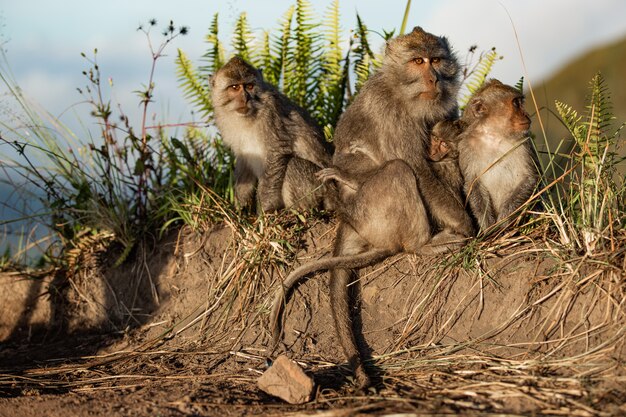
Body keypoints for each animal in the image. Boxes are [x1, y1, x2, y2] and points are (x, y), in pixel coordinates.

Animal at [211, 55, 332, 211]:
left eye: (249, 86)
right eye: (235, 87)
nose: (245, 98)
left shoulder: (270, 114)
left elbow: (276, 151)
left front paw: (264, 210)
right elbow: (244, 159)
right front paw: (240, 208)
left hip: (320, 186)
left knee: (293, 165)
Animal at [454, 79, 536, 229]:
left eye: (519, 102)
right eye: (516, 104)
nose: (526, 115)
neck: (494, 135)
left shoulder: (523, 142)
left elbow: (529, 178)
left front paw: (502, 223)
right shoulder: (466, 147)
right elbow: (473, 184)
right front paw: (488, 227)